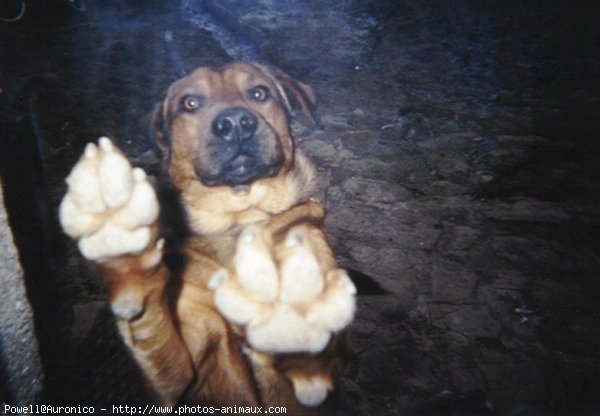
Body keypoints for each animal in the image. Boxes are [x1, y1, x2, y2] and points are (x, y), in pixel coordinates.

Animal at [58, 61, 354, 412]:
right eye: (190, 103)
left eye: (259, 93)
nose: (236, 123)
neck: (239, 220)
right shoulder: (177, 381)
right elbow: (151, 325)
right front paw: (119, 236)